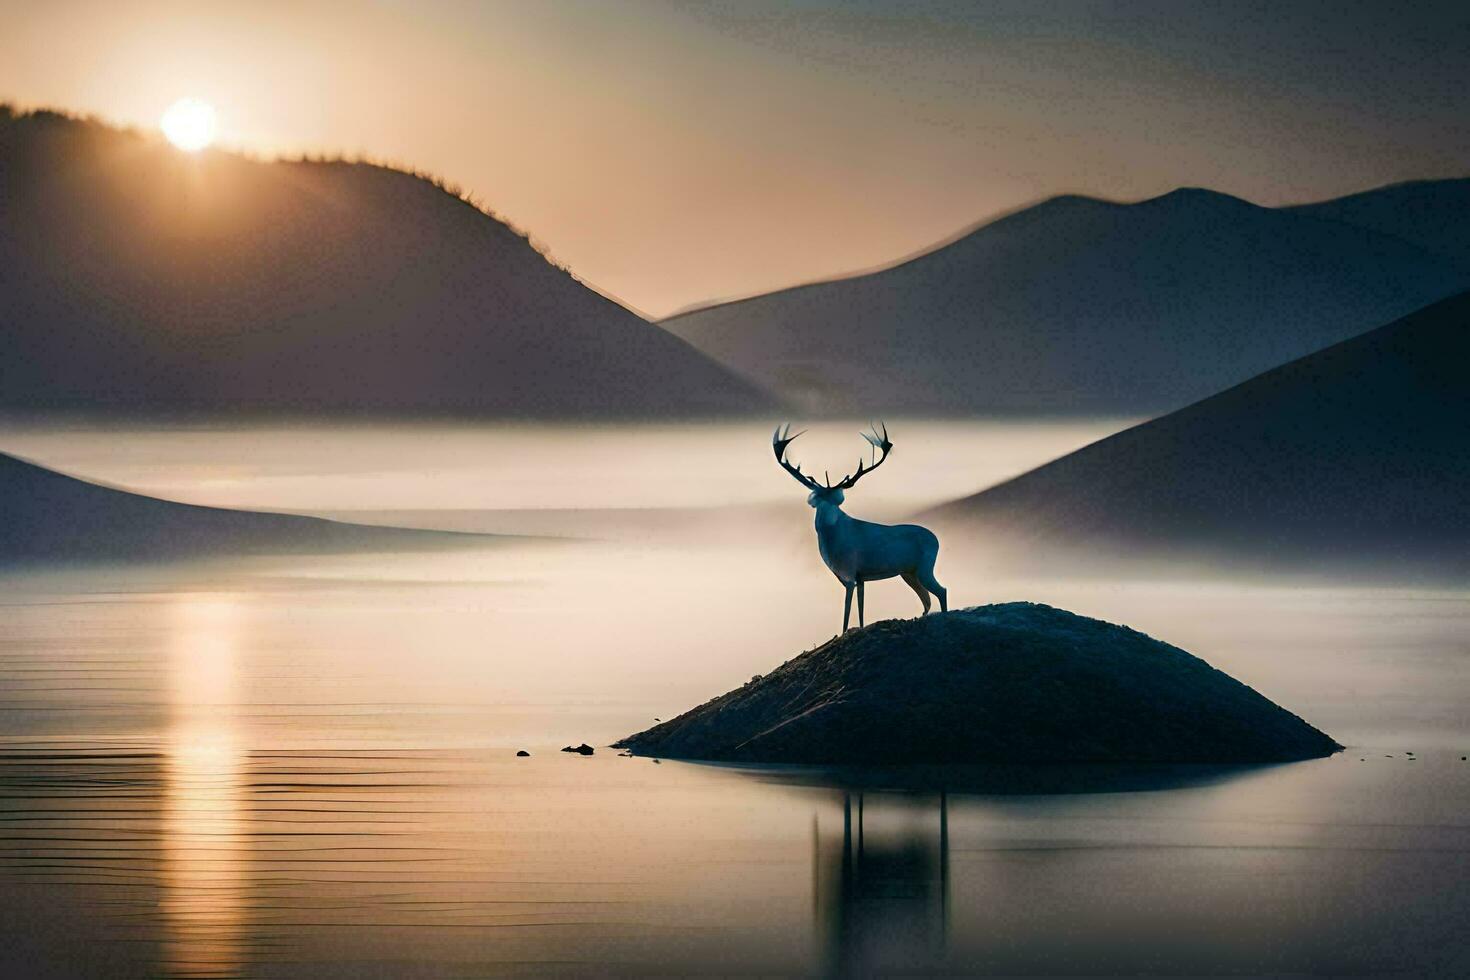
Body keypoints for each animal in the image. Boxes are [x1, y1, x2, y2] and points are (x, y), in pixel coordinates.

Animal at [770, 423, 952, 637]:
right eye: (817, 497)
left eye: (836, 498)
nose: (824, 516)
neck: (831, 544)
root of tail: (936, 539)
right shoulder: (859, 576)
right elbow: (861, 609)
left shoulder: (849, 571)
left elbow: (847, 609)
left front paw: (842, 633)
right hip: (909, 572)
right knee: (926, 600)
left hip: (925, 566)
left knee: (941, 591)